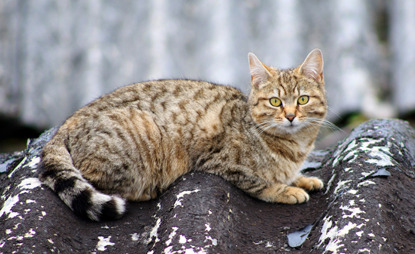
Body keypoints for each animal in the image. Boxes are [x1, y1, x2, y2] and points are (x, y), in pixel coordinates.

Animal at [39, 48, 328, 221]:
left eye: (302, 99)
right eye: (275, 102)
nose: (290, 116)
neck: (295, 146)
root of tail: (67, 123)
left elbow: (289, 174)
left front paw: (302, 179)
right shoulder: (222, 163)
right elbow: (261, 183)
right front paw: (286, 190)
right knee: (95, 179)